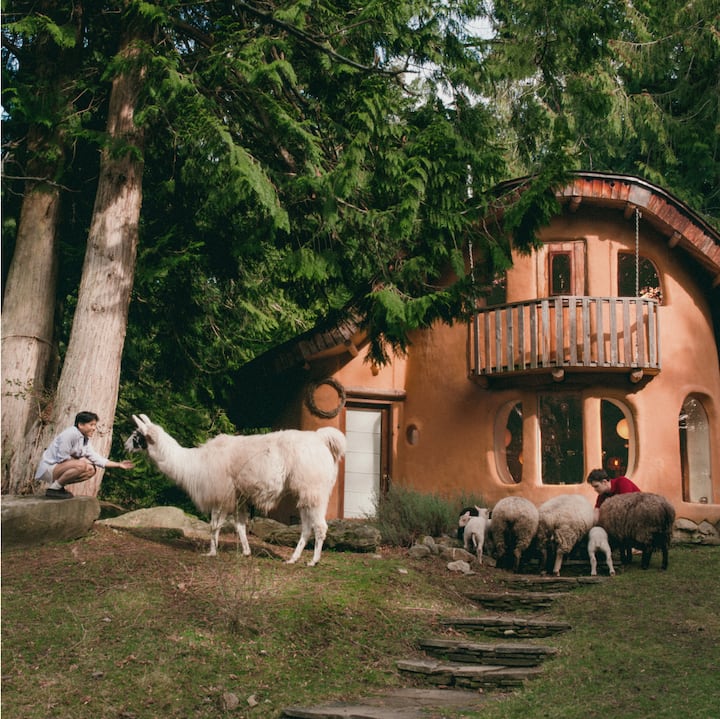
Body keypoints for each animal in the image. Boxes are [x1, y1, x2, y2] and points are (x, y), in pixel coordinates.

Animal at [126, 416, 346, 568]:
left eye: (137, 436)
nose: (125, 445)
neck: (194, 464)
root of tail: (321, 439)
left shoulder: (220, 493)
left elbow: (214, 525)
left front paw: (211, 552)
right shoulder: (238, 496)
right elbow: (240, 525)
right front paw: (246, 552)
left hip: (314, 489)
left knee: (320, 526)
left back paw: (313, 561)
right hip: (307, 492)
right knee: (307, 527)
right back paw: (293, 559)